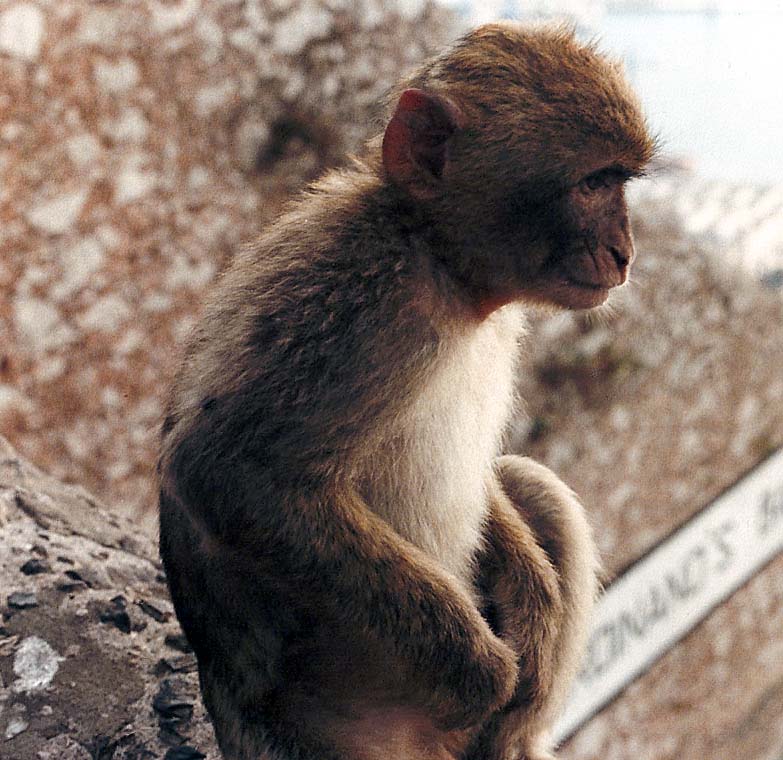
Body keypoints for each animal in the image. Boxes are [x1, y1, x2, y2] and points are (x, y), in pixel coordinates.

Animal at [158, 22, 656, 760]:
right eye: (594, 183)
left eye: (618, 181)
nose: (624, 252)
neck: (443, 265)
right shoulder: (360, 295)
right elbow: (229, 471)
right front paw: (482, 670)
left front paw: (533, 599)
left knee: (531, 482)